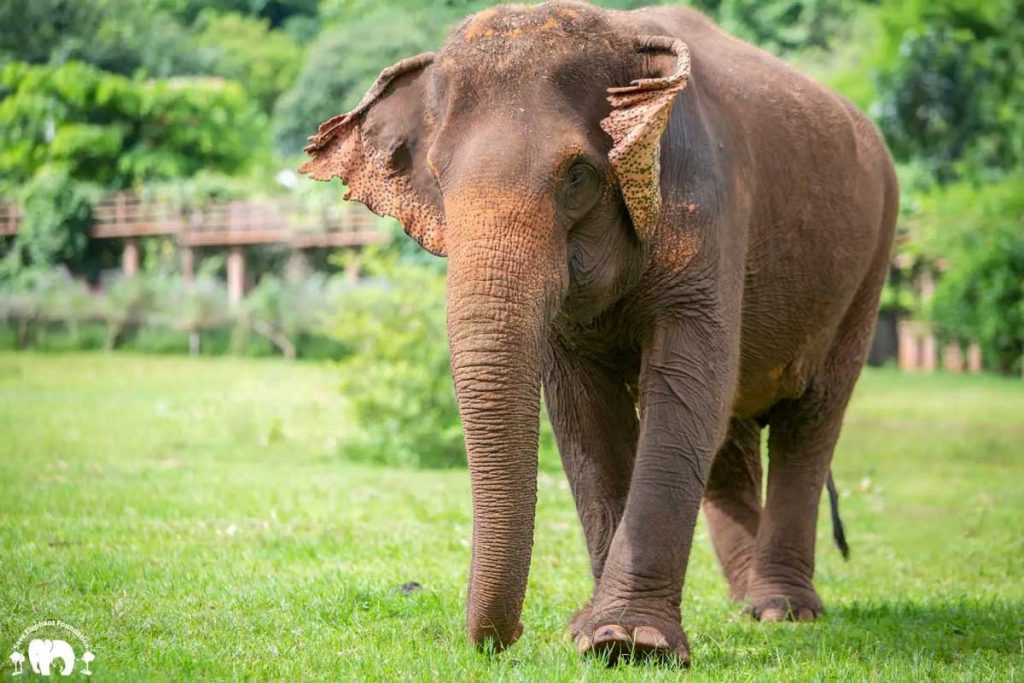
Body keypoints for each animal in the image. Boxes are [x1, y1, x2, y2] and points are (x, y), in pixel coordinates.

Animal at [299, 0, 897, 663]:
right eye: (436, 174)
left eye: (579, 176)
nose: (508, 638)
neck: (623, 33)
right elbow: (584, 410)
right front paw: (591, 631)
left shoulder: (708, 206)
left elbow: (685, 386)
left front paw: (629, 641)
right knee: (732, 433)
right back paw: (745, 605)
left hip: (868, 270)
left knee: (810, 418)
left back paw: (781, 612)